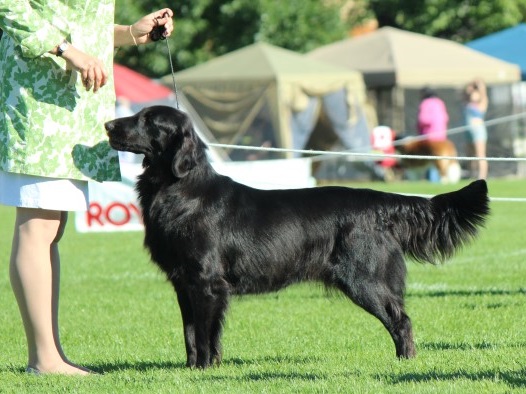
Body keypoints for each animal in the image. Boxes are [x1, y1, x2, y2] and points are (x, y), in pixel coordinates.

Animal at [105, 105, 492, 370]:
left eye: (149, 120)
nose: (108, 125)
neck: (180, 189)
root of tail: (379, 201)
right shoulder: (183, 282)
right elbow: (191, 333)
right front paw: (193, 370)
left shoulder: (206, 282)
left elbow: (203, 333)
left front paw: (204, 369)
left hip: (364, 279)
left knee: (401, 319)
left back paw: (405, 362)